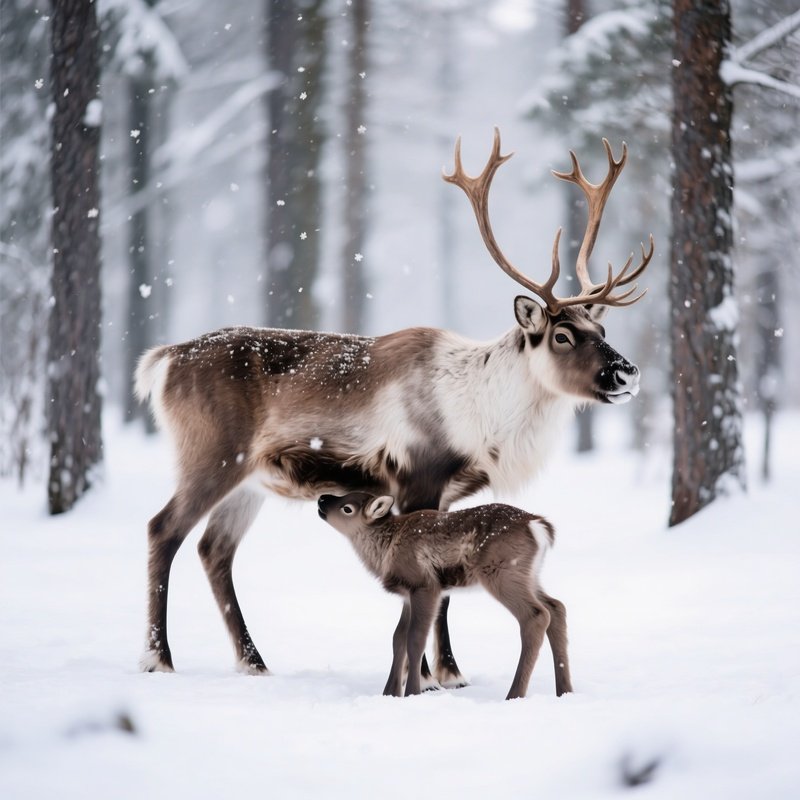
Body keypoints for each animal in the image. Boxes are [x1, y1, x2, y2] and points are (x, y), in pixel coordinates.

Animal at [317, 492, 571, 700]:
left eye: (347, 508)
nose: (321, 499)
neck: (385, 551)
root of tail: (539, 526)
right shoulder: (407, 595)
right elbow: (398, 638)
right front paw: (389, 693)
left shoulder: (425, 585)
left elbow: (416, 638)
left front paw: (412, 692)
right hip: (529, 575)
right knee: (557, 606)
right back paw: (565, 691)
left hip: (502, 572)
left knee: (536, 615)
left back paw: (514, 695)